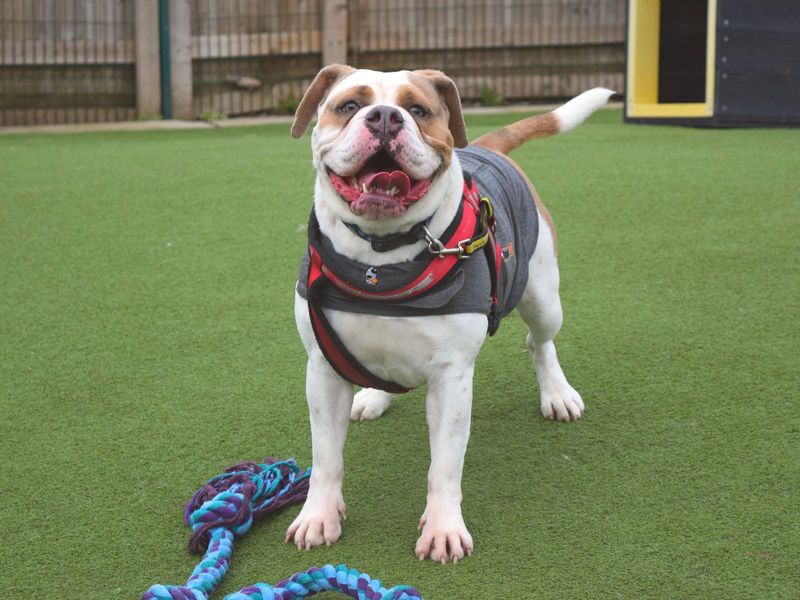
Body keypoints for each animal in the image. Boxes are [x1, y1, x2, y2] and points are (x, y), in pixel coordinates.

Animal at [284, 65, 608, 564]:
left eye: (418, 110)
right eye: (350, 105)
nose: (384, 117)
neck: (381, 259)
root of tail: (487, 147)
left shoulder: (451, 379)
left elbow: (445, 466)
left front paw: (442, 529)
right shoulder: (323, 369)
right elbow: (326, 458)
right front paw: (318, 517)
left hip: (543, 298)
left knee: (540, 342)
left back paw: (557, 393)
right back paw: (373, 397)